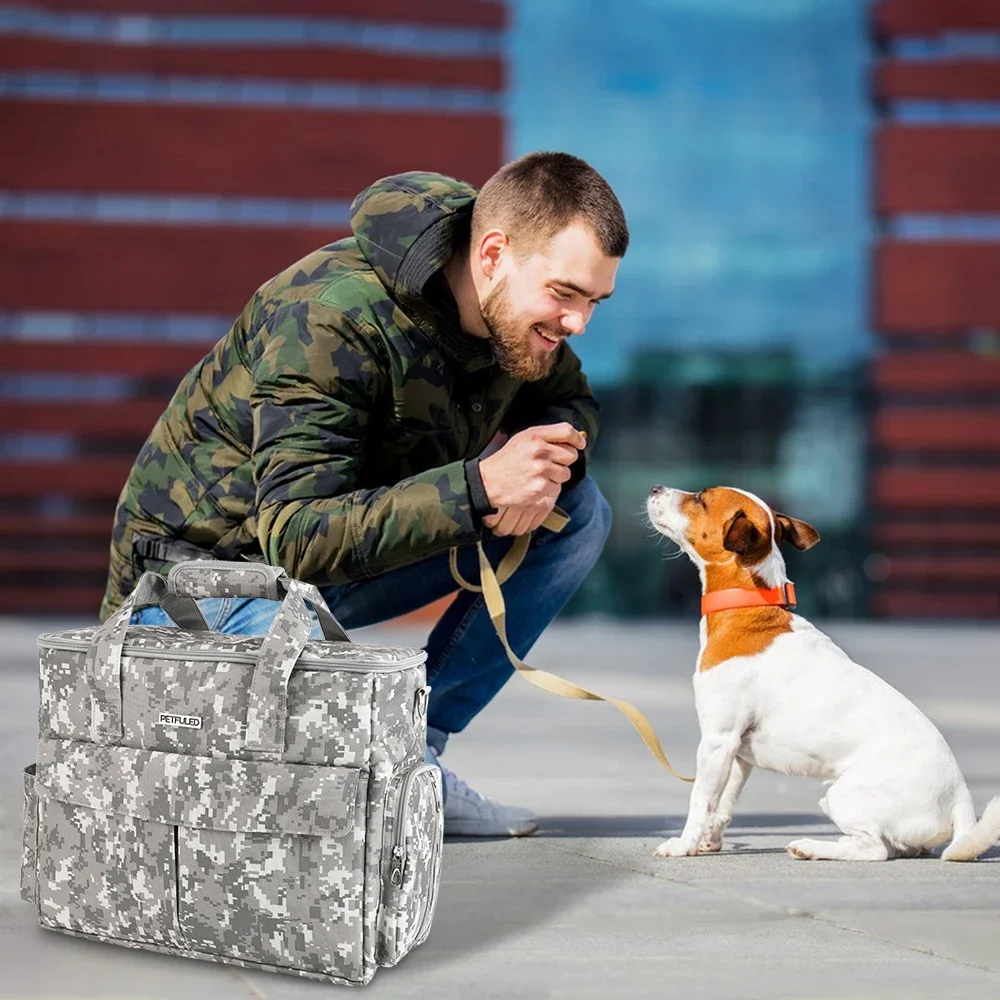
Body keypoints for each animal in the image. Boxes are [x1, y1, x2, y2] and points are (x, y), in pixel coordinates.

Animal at [644, 484, 996, 860]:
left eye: (701, 498)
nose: (656, 488)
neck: (748, 607)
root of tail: (960, 797)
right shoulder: (736, 754)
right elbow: (722, 804)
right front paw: (708, 841)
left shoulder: (716, 741)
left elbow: (701, 801)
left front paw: (684, 844)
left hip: (842, 795)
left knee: (875, 849)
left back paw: (811, 846)